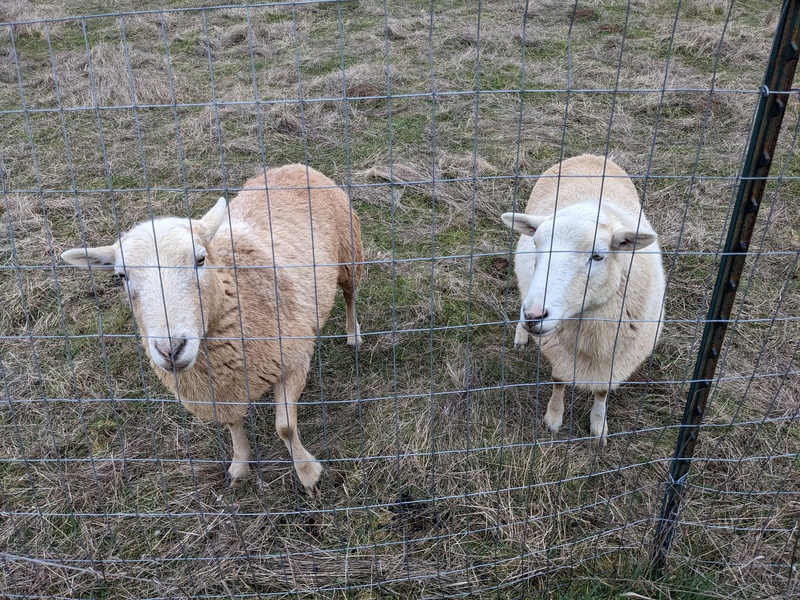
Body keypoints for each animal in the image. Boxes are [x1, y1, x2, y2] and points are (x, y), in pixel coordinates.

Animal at [62, 163, 362, 492]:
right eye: (121, 276)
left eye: (200, 259)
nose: (171, 349)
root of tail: (293, 167)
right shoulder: (220, 390)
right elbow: (232, 423)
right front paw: (240, 465)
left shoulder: (293, 359)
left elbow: (285, 426)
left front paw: (307, 473)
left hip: (349, 252)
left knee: (350, 294)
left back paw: (353, 334)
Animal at [504, 155, 664, 442]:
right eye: (536, 245)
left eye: (598, 255)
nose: (533, 316)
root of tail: (590, 156)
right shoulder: (558, 350)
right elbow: (559, 380)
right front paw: (553, 418)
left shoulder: (615, 360)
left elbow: (602, 392)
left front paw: (599, 426)